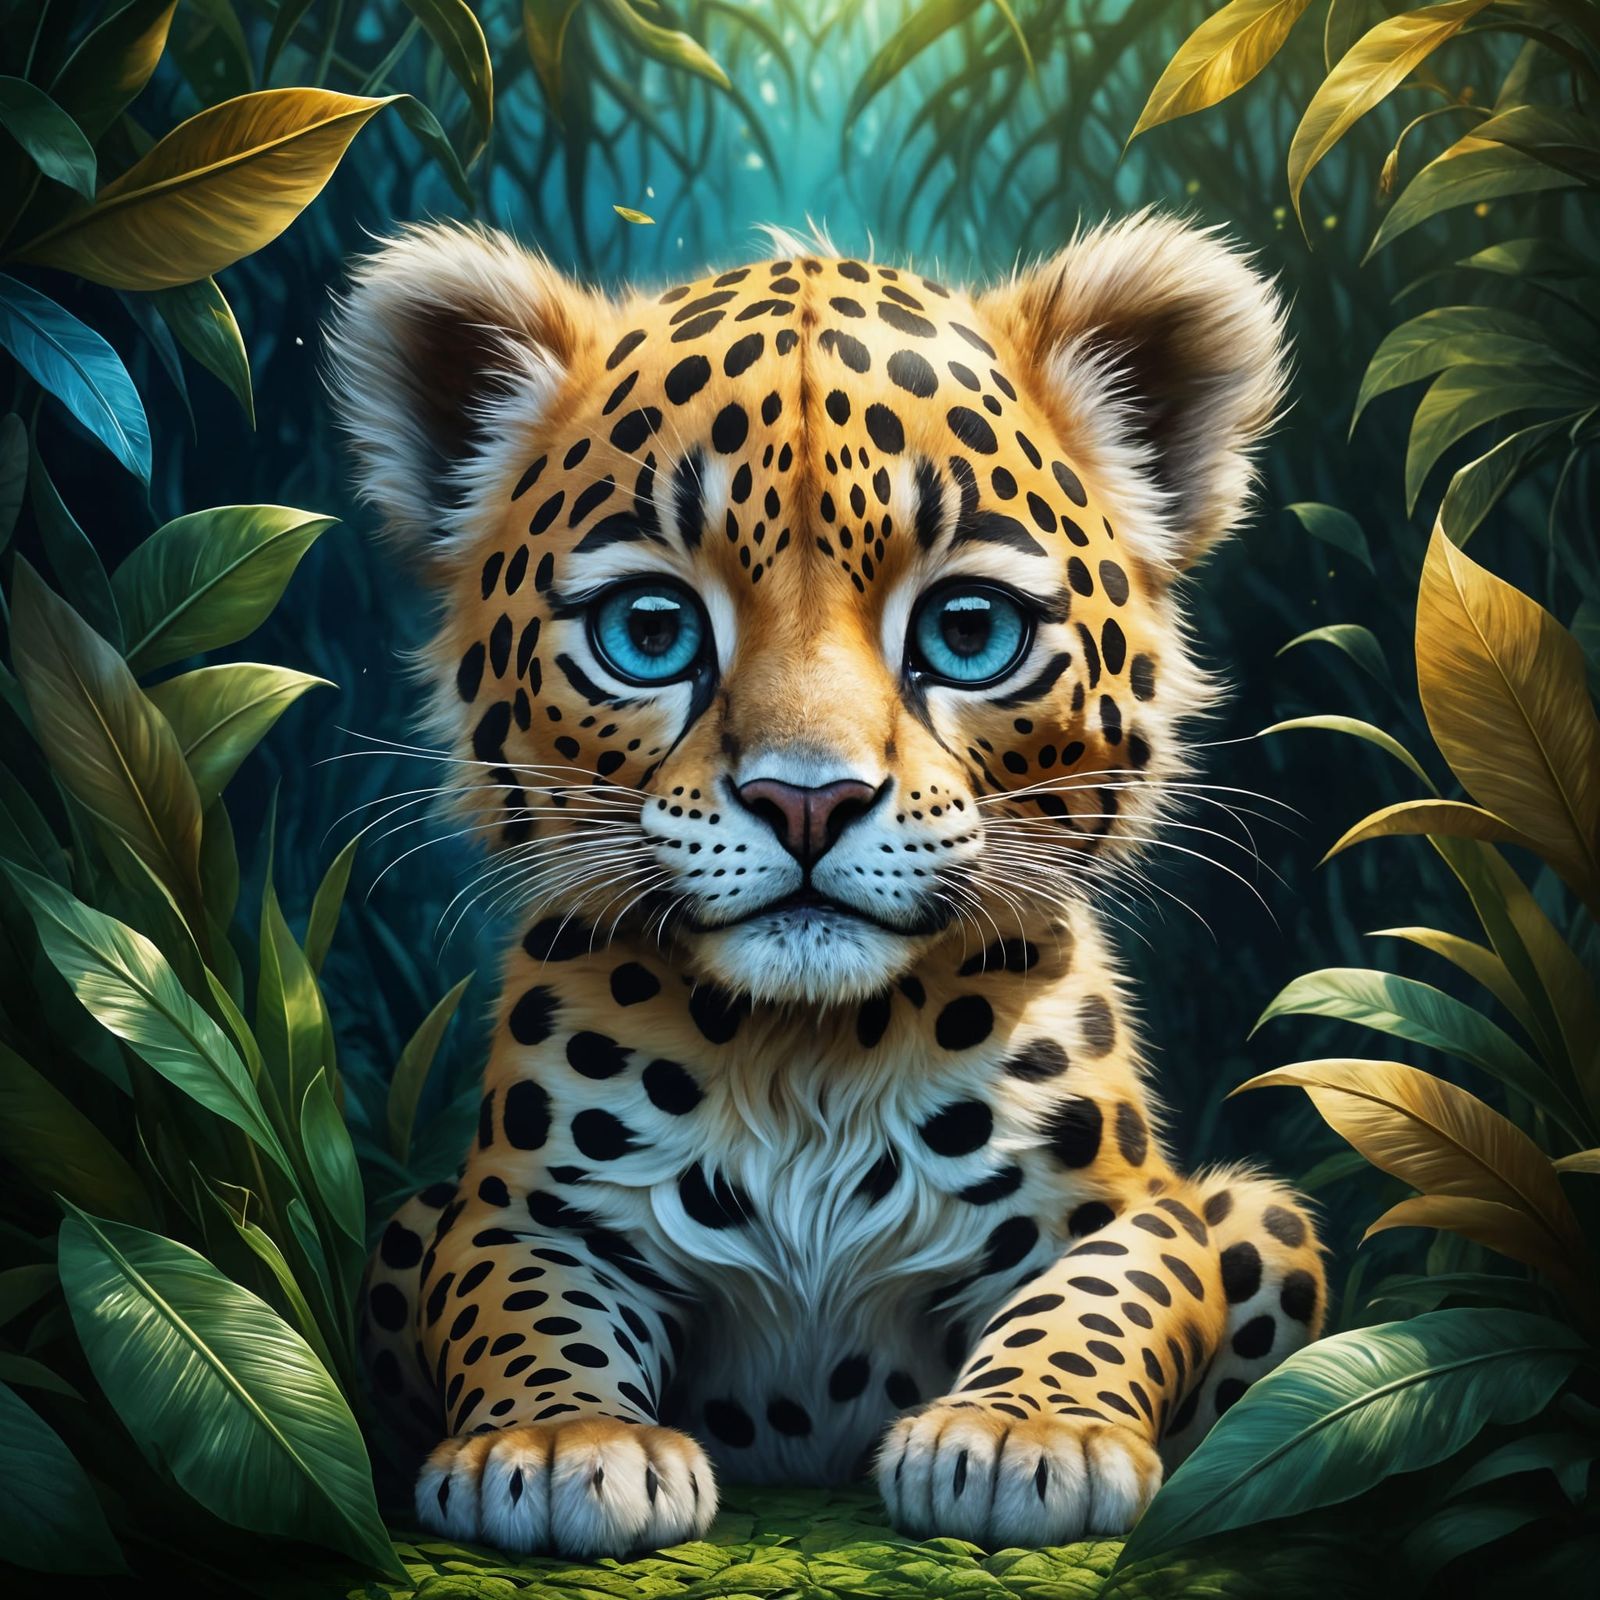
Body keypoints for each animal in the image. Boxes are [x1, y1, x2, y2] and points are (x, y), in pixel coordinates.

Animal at [327, 214, 1326, 1560]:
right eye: (651, 631)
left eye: (968, 631)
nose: (807, 800)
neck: (807, 1058)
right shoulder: (513, 1208)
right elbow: (525, 1303)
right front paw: (557, 1442)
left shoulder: (1132, 1209)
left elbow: (1099, 1297)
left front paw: (1023, 1431)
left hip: (1267, 1224)